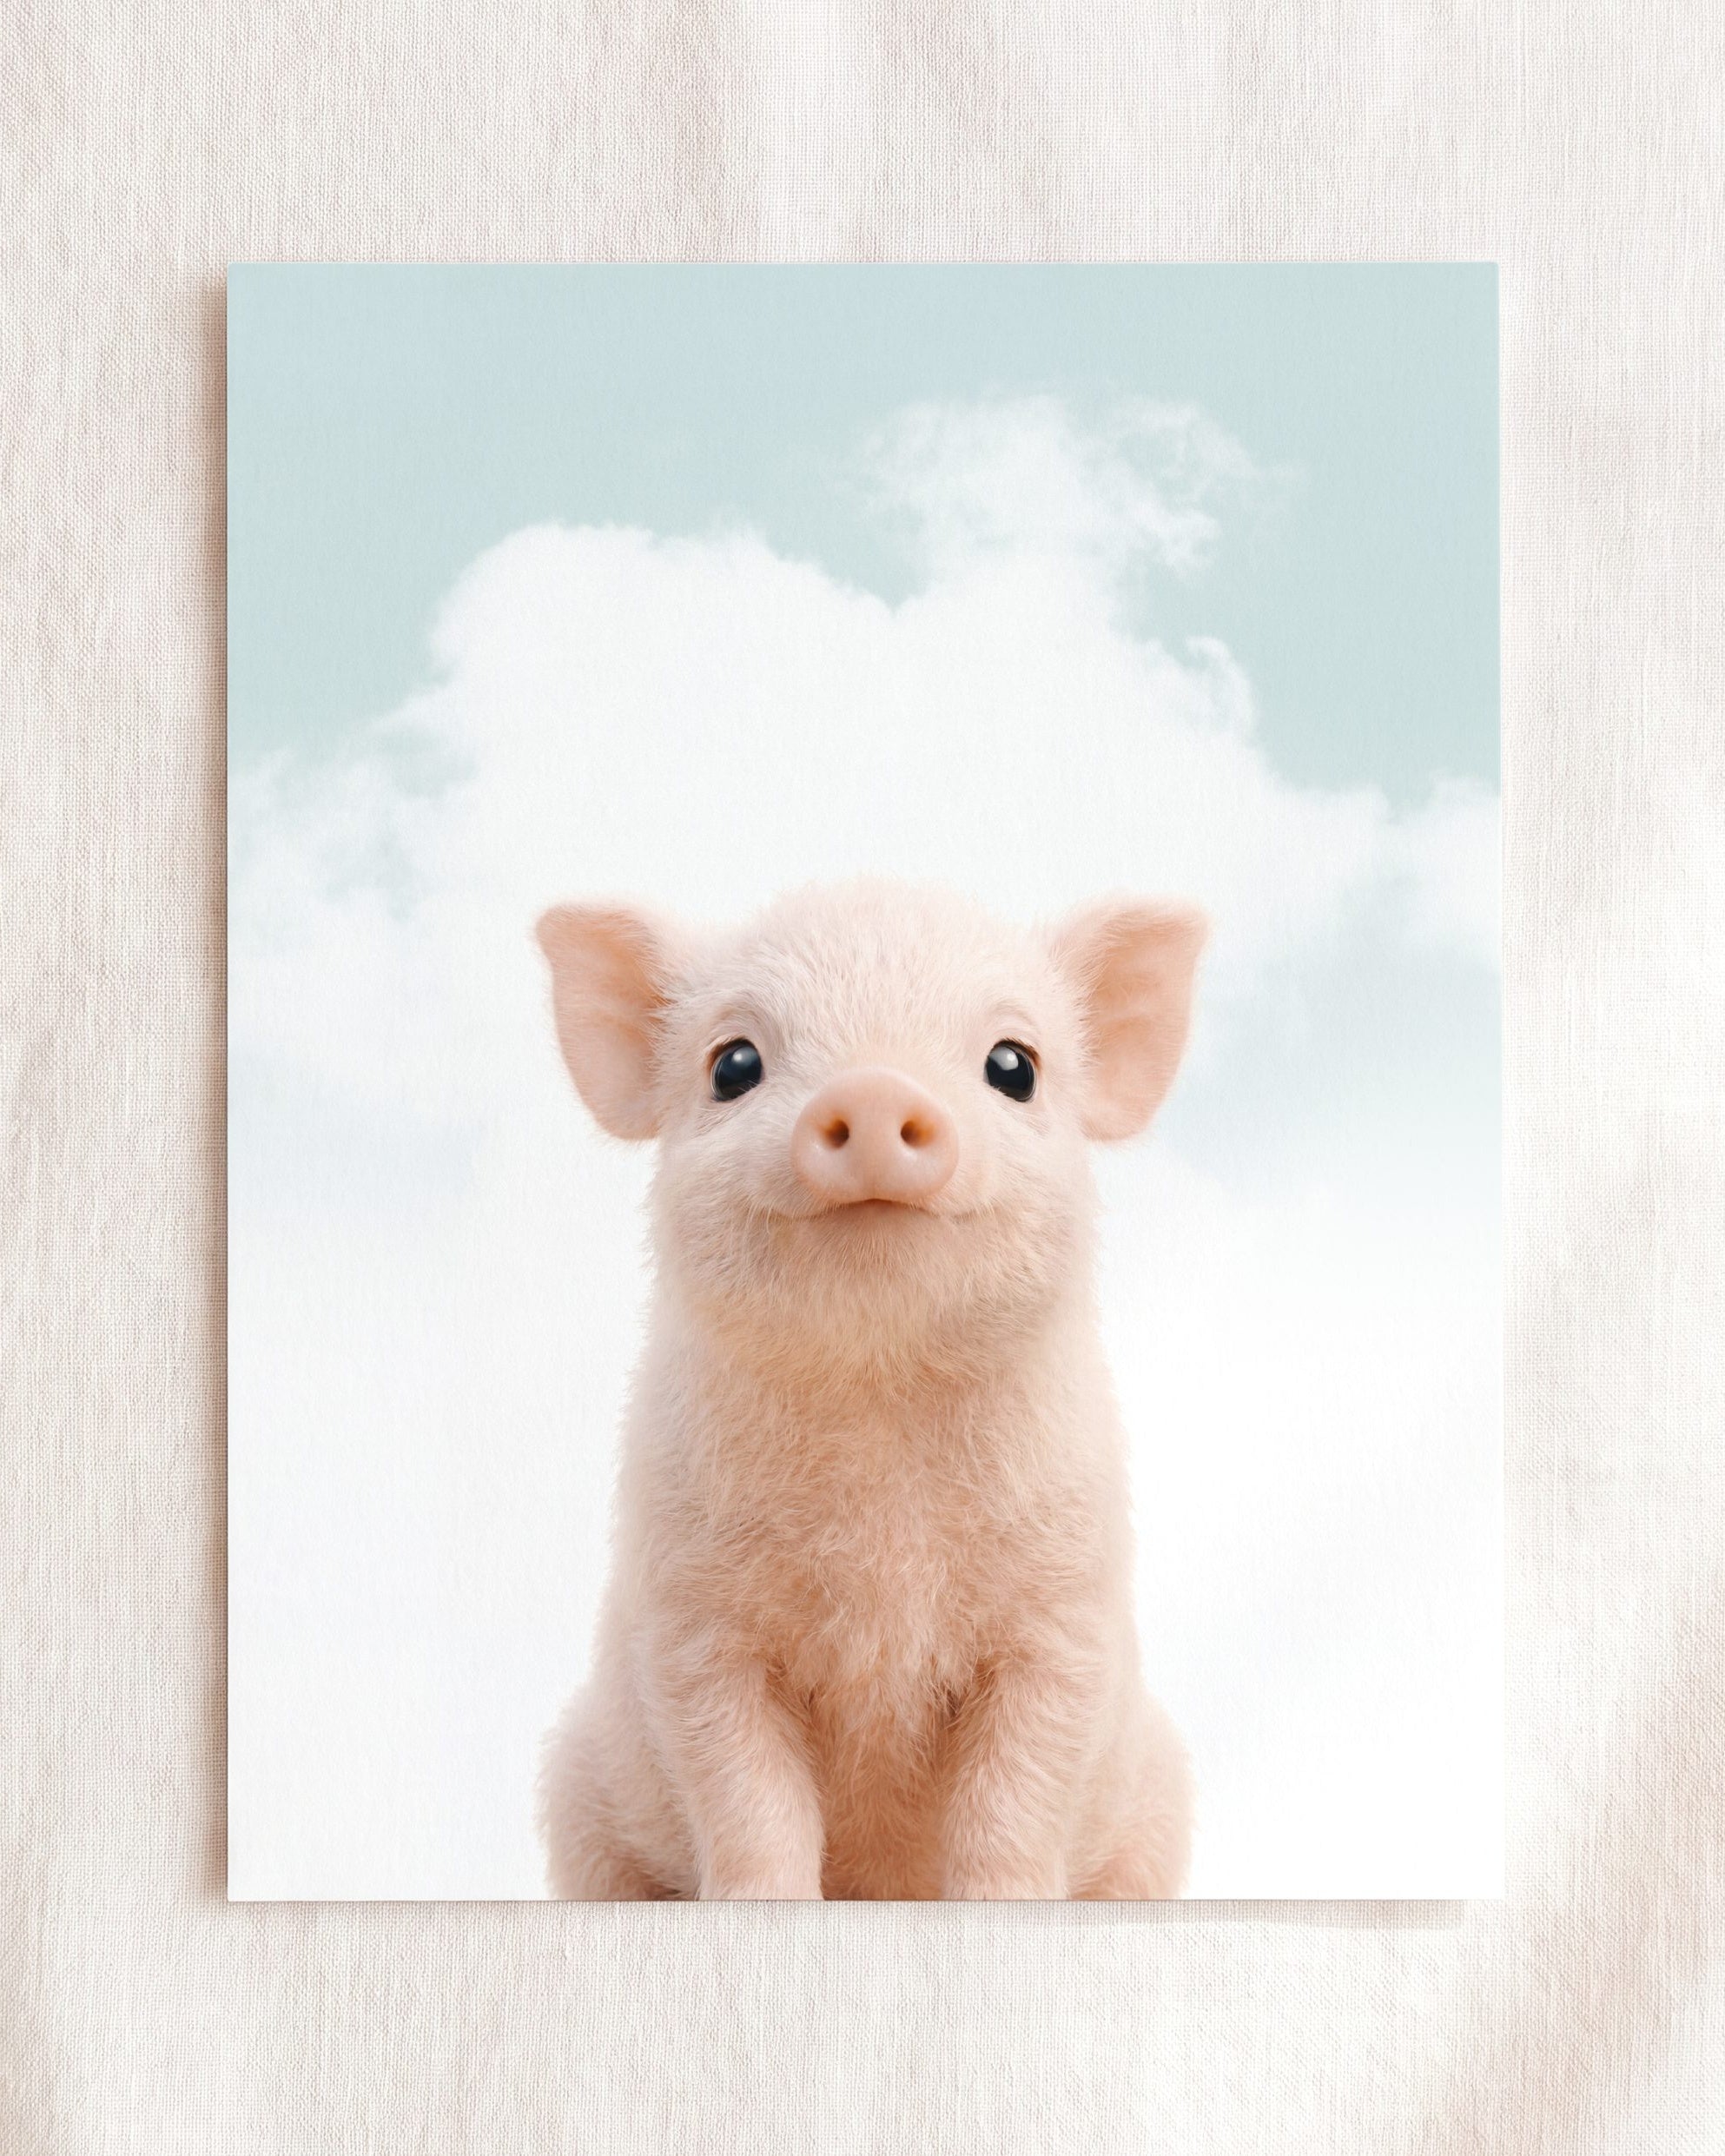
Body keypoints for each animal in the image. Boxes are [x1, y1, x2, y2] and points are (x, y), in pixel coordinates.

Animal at [534, 878, 1204, 1899]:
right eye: (734, 1064)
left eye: (1014, 1066)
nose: (876, 1087)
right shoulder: (692, 1625)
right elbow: (747, 1796)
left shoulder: (1064, 1616)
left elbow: (1016, 1797)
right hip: (577, 1798)